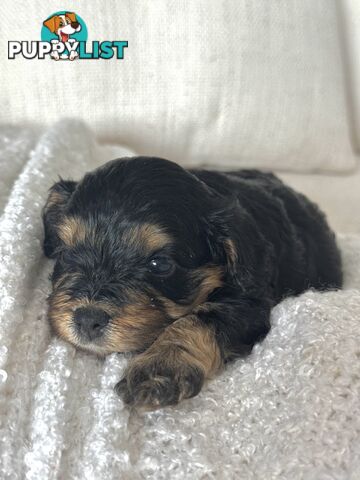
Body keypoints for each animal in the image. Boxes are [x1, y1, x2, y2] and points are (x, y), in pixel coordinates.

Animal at [40, 158, 342, 408]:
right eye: (66, 252)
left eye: (160, 264)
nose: (87, 320)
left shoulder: (251, 303)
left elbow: (200, 319)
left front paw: (161, 367)